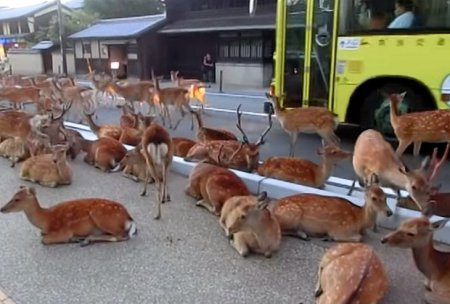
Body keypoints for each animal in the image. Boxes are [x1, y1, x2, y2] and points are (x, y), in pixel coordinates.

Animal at [0, 185, 137, 247]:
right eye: (13, 196)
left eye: (17, 199)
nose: (2, 209)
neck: (45, 220)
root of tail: (129, 218)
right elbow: (42, 234)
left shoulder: (63, 230)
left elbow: (44, 240)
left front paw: (72, 239)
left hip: (101, 216)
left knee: (121, 236)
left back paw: (84, 240)